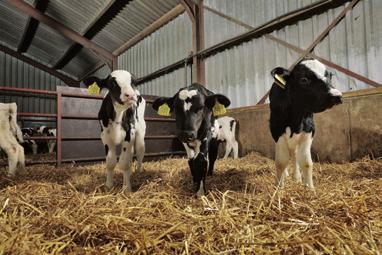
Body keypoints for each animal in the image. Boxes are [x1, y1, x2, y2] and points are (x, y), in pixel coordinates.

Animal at [268, 58, 344, 189]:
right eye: (304, 80)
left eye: (330, 76)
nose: (336, 95)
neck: (296, 120)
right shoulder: (277, 131)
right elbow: (281, 161)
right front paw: (279, 187)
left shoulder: (309, 130)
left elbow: (306, 162)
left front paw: (309, 187)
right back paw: (286, 174)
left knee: (294, 154)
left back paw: (297, 177)